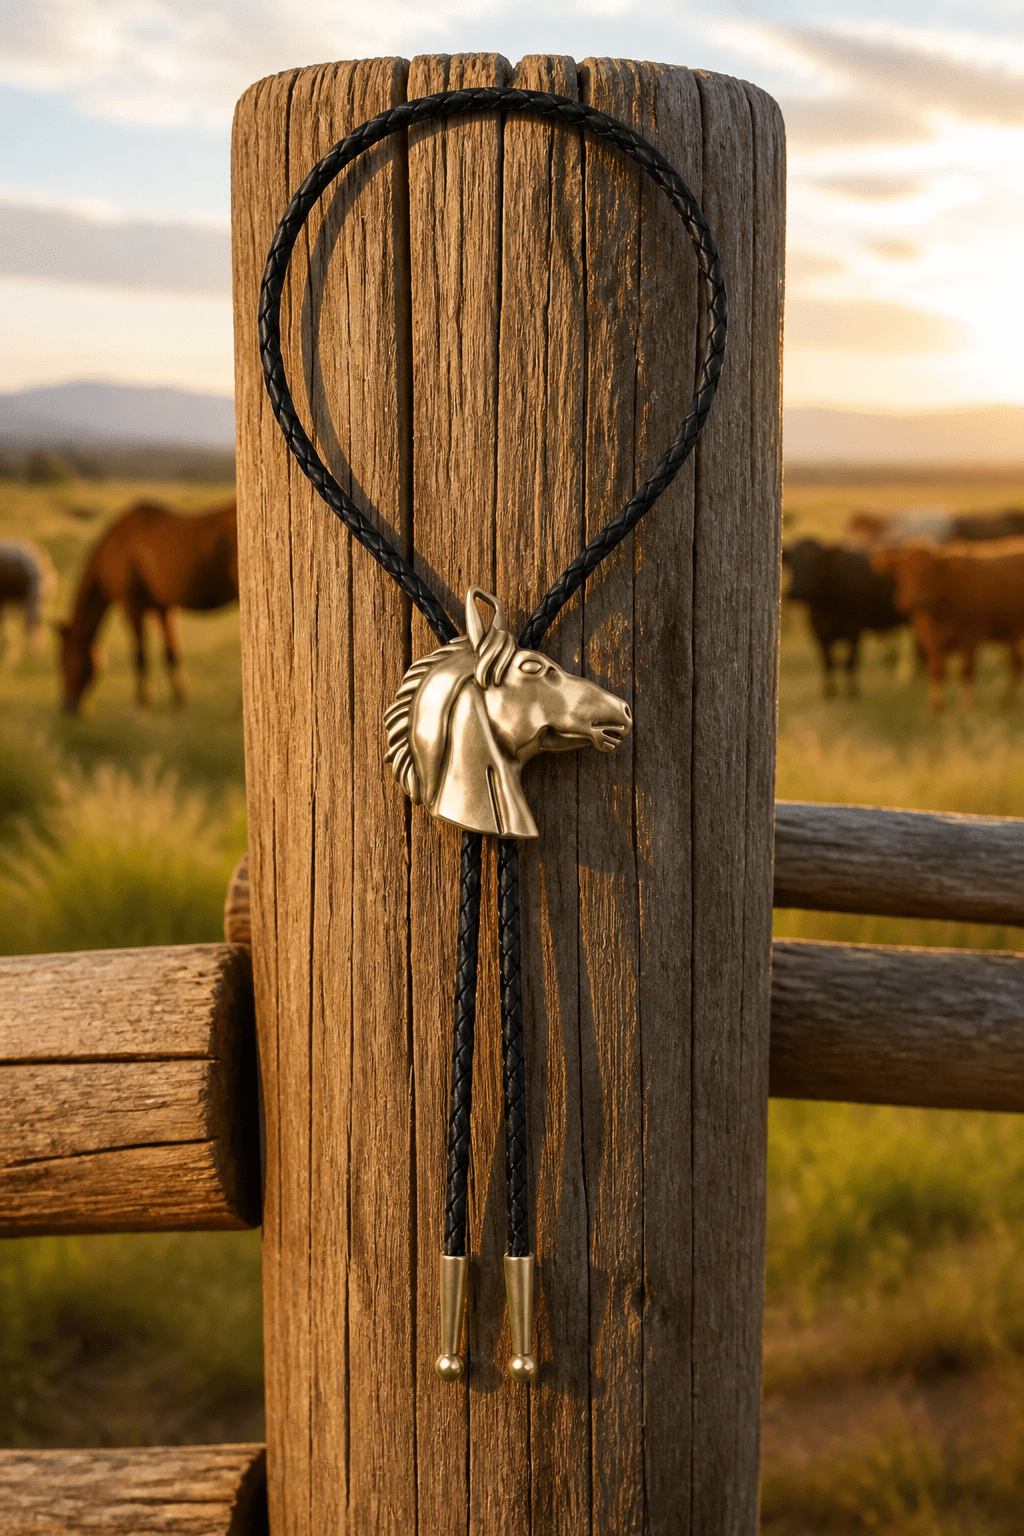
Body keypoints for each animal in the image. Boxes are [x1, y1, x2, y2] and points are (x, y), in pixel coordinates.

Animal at [57, 498, 237, 713]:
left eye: (63, 662)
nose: (68, 705)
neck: (116, 546)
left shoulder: (132, 606)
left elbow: (140, 656)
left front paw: (141, 704)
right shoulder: (163, 608)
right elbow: (171, 653)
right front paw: (179, 701)